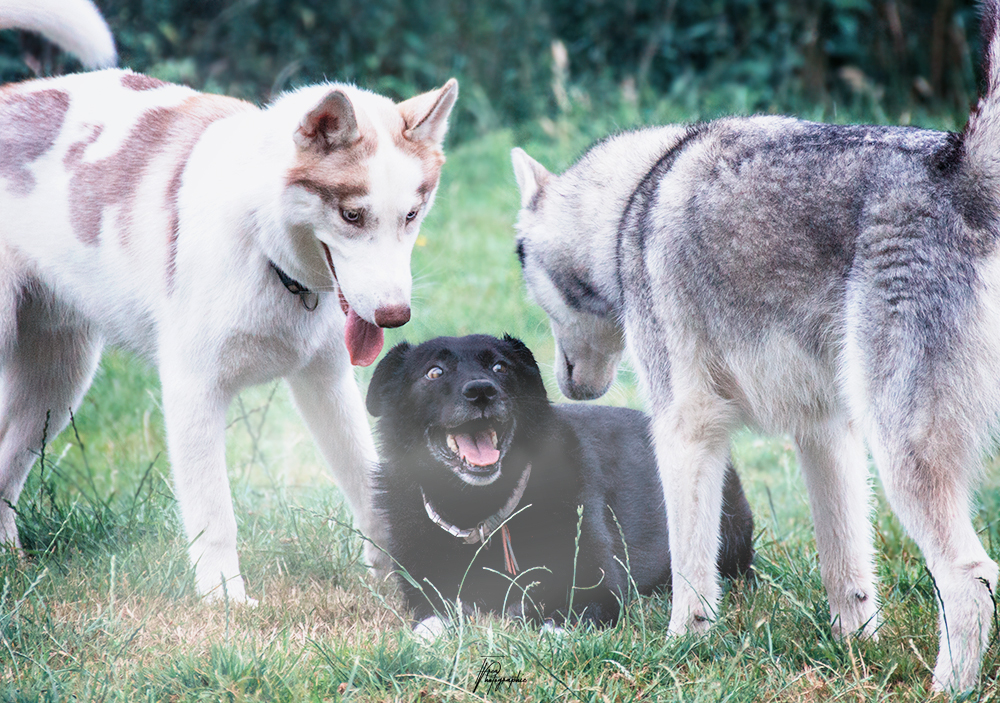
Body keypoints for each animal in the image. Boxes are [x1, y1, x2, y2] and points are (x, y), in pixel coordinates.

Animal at [366, 336, 752, 640]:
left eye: (500, 367)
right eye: (434, 373)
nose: (481, 391)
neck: (482, 510)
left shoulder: (599, 588)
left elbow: (559, 623)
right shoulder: (428, 595)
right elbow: (431, 623)